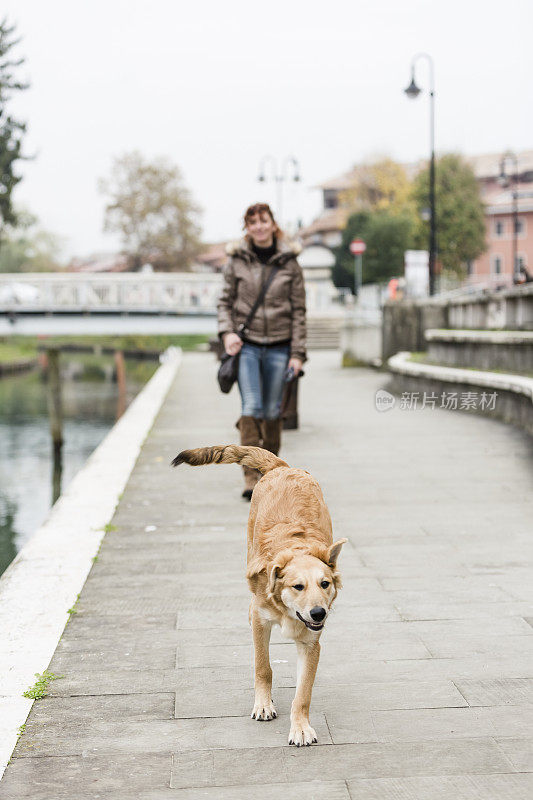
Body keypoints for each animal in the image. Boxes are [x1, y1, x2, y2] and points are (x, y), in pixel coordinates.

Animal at [170, 444, 344, 744]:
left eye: (324, 584)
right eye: (298, 586)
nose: (319, 613)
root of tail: (282, 467)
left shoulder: (311, 643)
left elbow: (303, 693)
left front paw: (300, 727)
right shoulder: (262, 623)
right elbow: (263, 667)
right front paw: (264, 705)